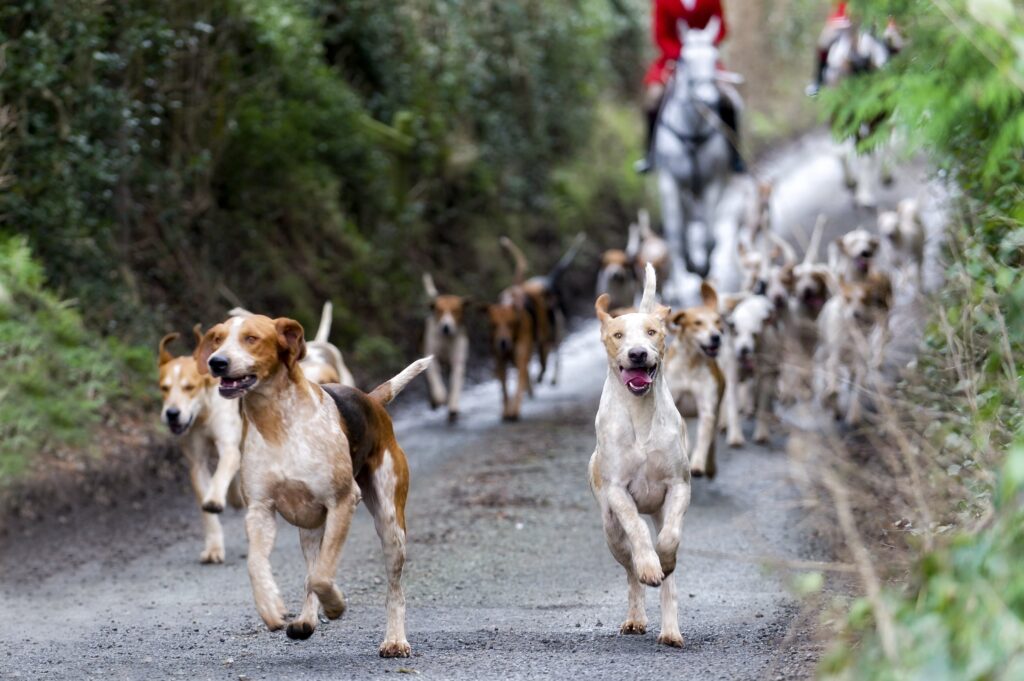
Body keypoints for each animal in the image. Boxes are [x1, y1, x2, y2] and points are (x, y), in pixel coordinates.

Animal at [653, 18, 740, 297]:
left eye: (713, 57)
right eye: (685, 58)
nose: (708, 100)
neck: (692, 129)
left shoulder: (712, 181)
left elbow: (710, 236)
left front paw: (702, 267)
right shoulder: (669, 183)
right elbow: (675, 236)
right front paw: (689, 264)